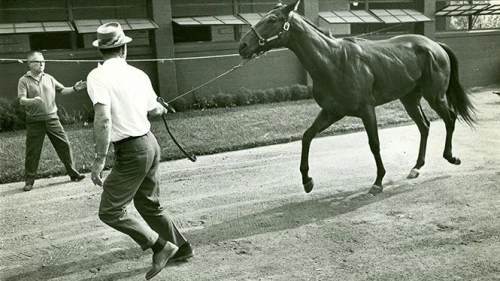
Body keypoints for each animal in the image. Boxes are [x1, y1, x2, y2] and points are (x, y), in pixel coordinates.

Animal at [238, 0, 476, 194]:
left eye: (272, 19)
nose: (243, 45)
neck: (334, 61)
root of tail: (435, 46)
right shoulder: (332, 112)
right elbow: (307, 136)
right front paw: (307, 180)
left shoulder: (366, 110)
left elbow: (374, 144)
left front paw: (378, 182)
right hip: (409, 99)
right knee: (424, 126)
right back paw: (416, 167)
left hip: (435, 96)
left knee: (450, 119)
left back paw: (451, 157)